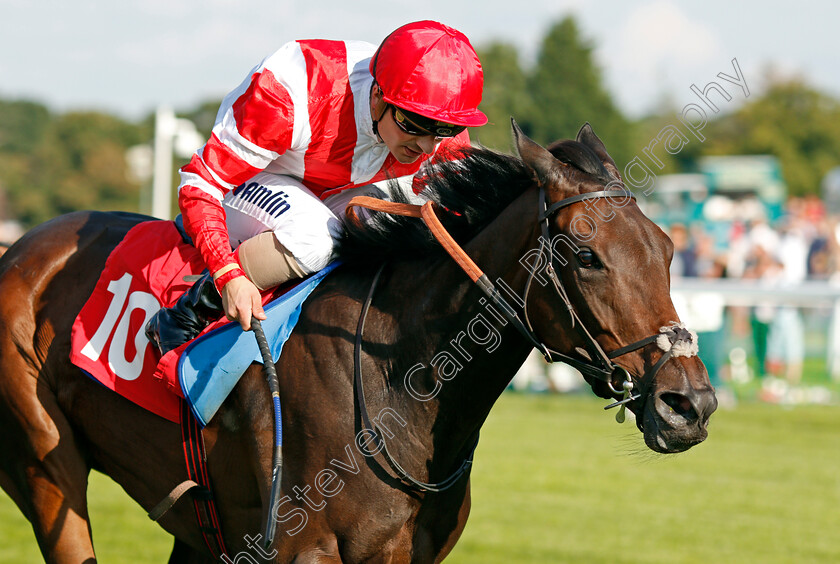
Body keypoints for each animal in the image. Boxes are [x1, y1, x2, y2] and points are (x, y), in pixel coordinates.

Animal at [0, 125, 716, 560]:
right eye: (587, 256)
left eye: (668, 249)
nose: (690, 404)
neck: (398, 379)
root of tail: (23, 248)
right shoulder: (303, 547)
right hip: (44, 465)